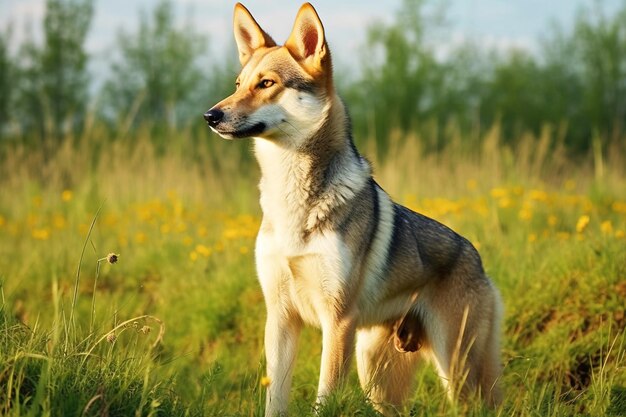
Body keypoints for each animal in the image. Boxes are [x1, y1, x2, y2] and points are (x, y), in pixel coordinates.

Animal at [205, 2, 502, 412]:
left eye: (266, 84)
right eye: (238, 84)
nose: (210, 115)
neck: (292, 199)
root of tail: (478, 259)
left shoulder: (338, 322)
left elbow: (324, 399)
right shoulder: (280, 319)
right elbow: (275, 401)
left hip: (454, 372)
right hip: (376, 374)